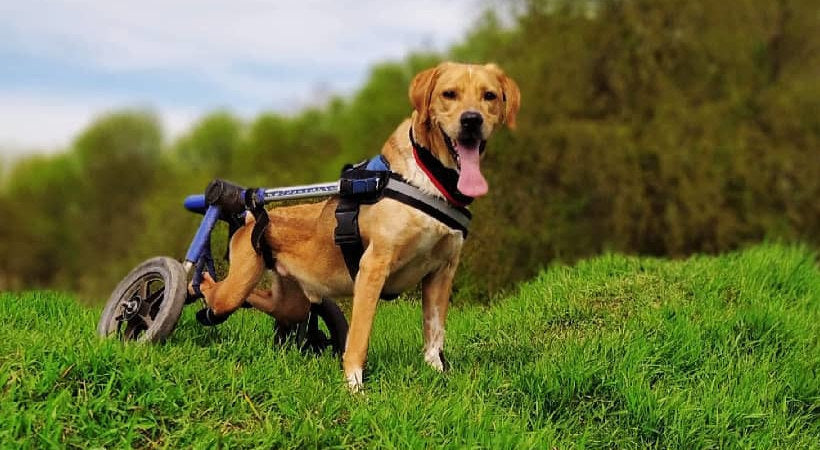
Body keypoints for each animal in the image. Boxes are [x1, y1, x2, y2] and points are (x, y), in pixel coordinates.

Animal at [197, 61, 520, 388]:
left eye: (489, 96)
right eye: (449, 94)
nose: (472, 120)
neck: (428, 178)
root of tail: (253, 216)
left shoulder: (442, 272)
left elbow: (434, 333)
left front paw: (437, 373)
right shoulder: (373, 268)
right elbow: (359, 338)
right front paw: (354, 386)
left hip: (288, 304)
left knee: (258, 301)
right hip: (235, 287)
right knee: (209, 291)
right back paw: (194, 280)